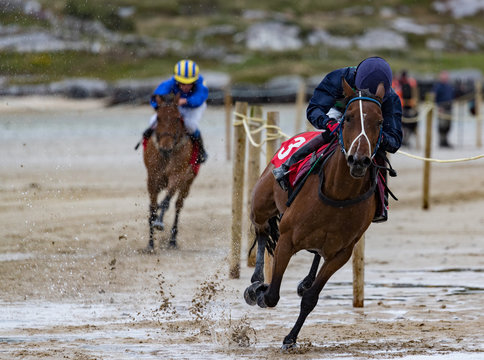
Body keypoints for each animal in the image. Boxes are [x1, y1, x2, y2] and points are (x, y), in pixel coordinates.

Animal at [143, 93, 198, 250]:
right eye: (158, 117)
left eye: (177, 117)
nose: (165, 147)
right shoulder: (152, 178)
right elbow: (152, 208)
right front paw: (150, 244)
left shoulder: (178, 175)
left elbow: (166, 202)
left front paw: (159, 222)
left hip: (188, 182)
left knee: (178, 204)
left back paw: (173, 240)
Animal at [246, 79, 386, 348]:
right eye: (348, 118)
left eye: (380, 121)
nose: (359, 160)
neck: (339, 194)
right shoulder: (287, 239)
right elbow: (272, 295)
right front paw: (259, 291)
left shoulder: (341, 254)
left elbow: (310, 298)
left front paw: (291, 338)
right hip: (260, 202)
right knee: (261, 230)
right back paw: (256, 280)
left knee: (314, 254)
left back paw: (304, 280)